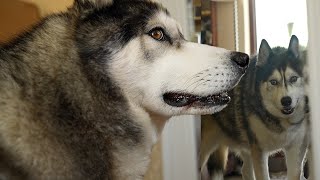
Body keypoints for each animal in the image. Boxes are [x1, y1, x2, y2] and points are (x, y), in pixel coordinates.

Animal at [201, 35, 308, 180]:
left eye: (293, 78)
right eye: (273, 82)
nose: (286, 101)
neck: (279, 121)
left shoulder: (296, 149)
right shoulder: (259, 152)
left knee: (245, 169)